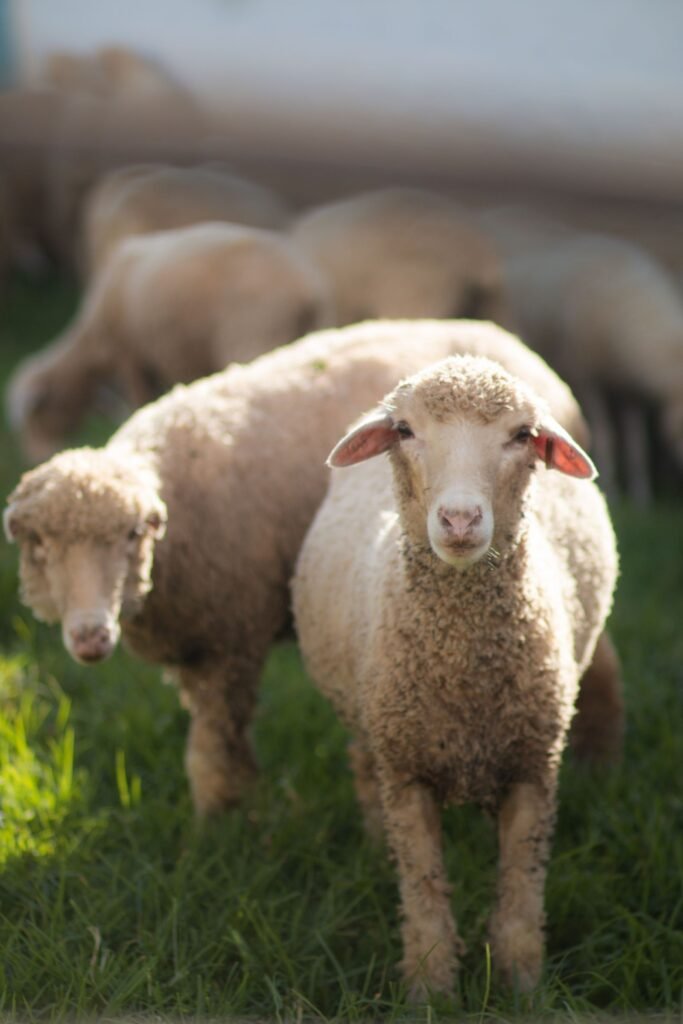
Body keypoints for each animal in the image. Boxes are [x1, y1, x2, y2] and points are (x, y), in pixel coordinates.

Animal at [4, 319, 616, 821]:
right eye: (40, 546)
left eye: (132, 535)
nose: (90, 637)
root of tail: (509, 340)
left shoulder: (229, 642)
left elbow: (214, 751)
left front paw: (222, 826)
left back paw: (598, 758)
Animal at [6, 221, 332, 463]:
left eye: (37, 413)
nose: (34, 457)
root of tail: (307, 287)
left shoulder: (131, 355)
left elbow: (139, 399)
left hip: (254, 334)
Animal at [292, 352, 619, 999]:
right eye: (405, 430)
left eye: (522, 435)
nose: (461, 518)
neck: (462, 669)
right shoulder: (406, 771)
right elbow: (422, 887)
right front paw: (429, 989)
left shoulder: (533, 767)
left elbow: (520, 889)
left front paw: (521, 986)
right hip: (370, 719)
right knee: (364, 772)